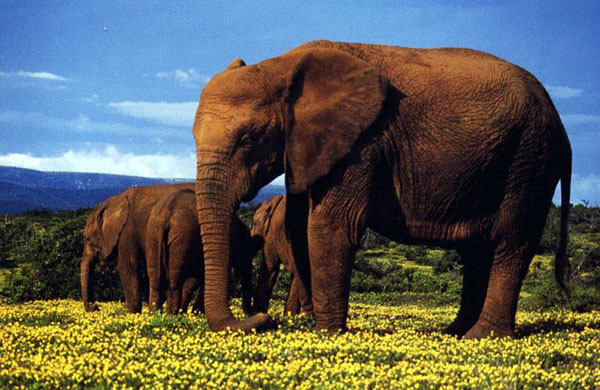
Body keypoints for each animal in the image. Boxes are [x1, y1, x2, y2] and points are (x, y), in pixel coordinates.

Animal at [146, 187, 258, 316]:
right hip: (181, 238)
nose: (251, 313)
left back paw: (156, 315)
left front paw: (191, 313)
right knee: (175, 283)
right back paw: (171, 316)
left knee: (155, 281)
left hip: (153, 234)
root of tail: (166, 214)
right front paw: (196, 313)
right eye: (248, 253)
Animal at [193, 39, 572, 338]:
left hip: (529, 160)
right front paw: (317, 327)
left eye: (247, 140)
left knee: (510, 243)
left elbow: (328, 226)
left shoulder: (363, 143)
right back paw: (452, 333)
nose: (263, 319)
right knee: (477, 249)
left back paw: (481, 337)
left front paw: (327, 334)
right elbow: (298, 229)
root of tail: (561, 126)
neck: (279, 65)